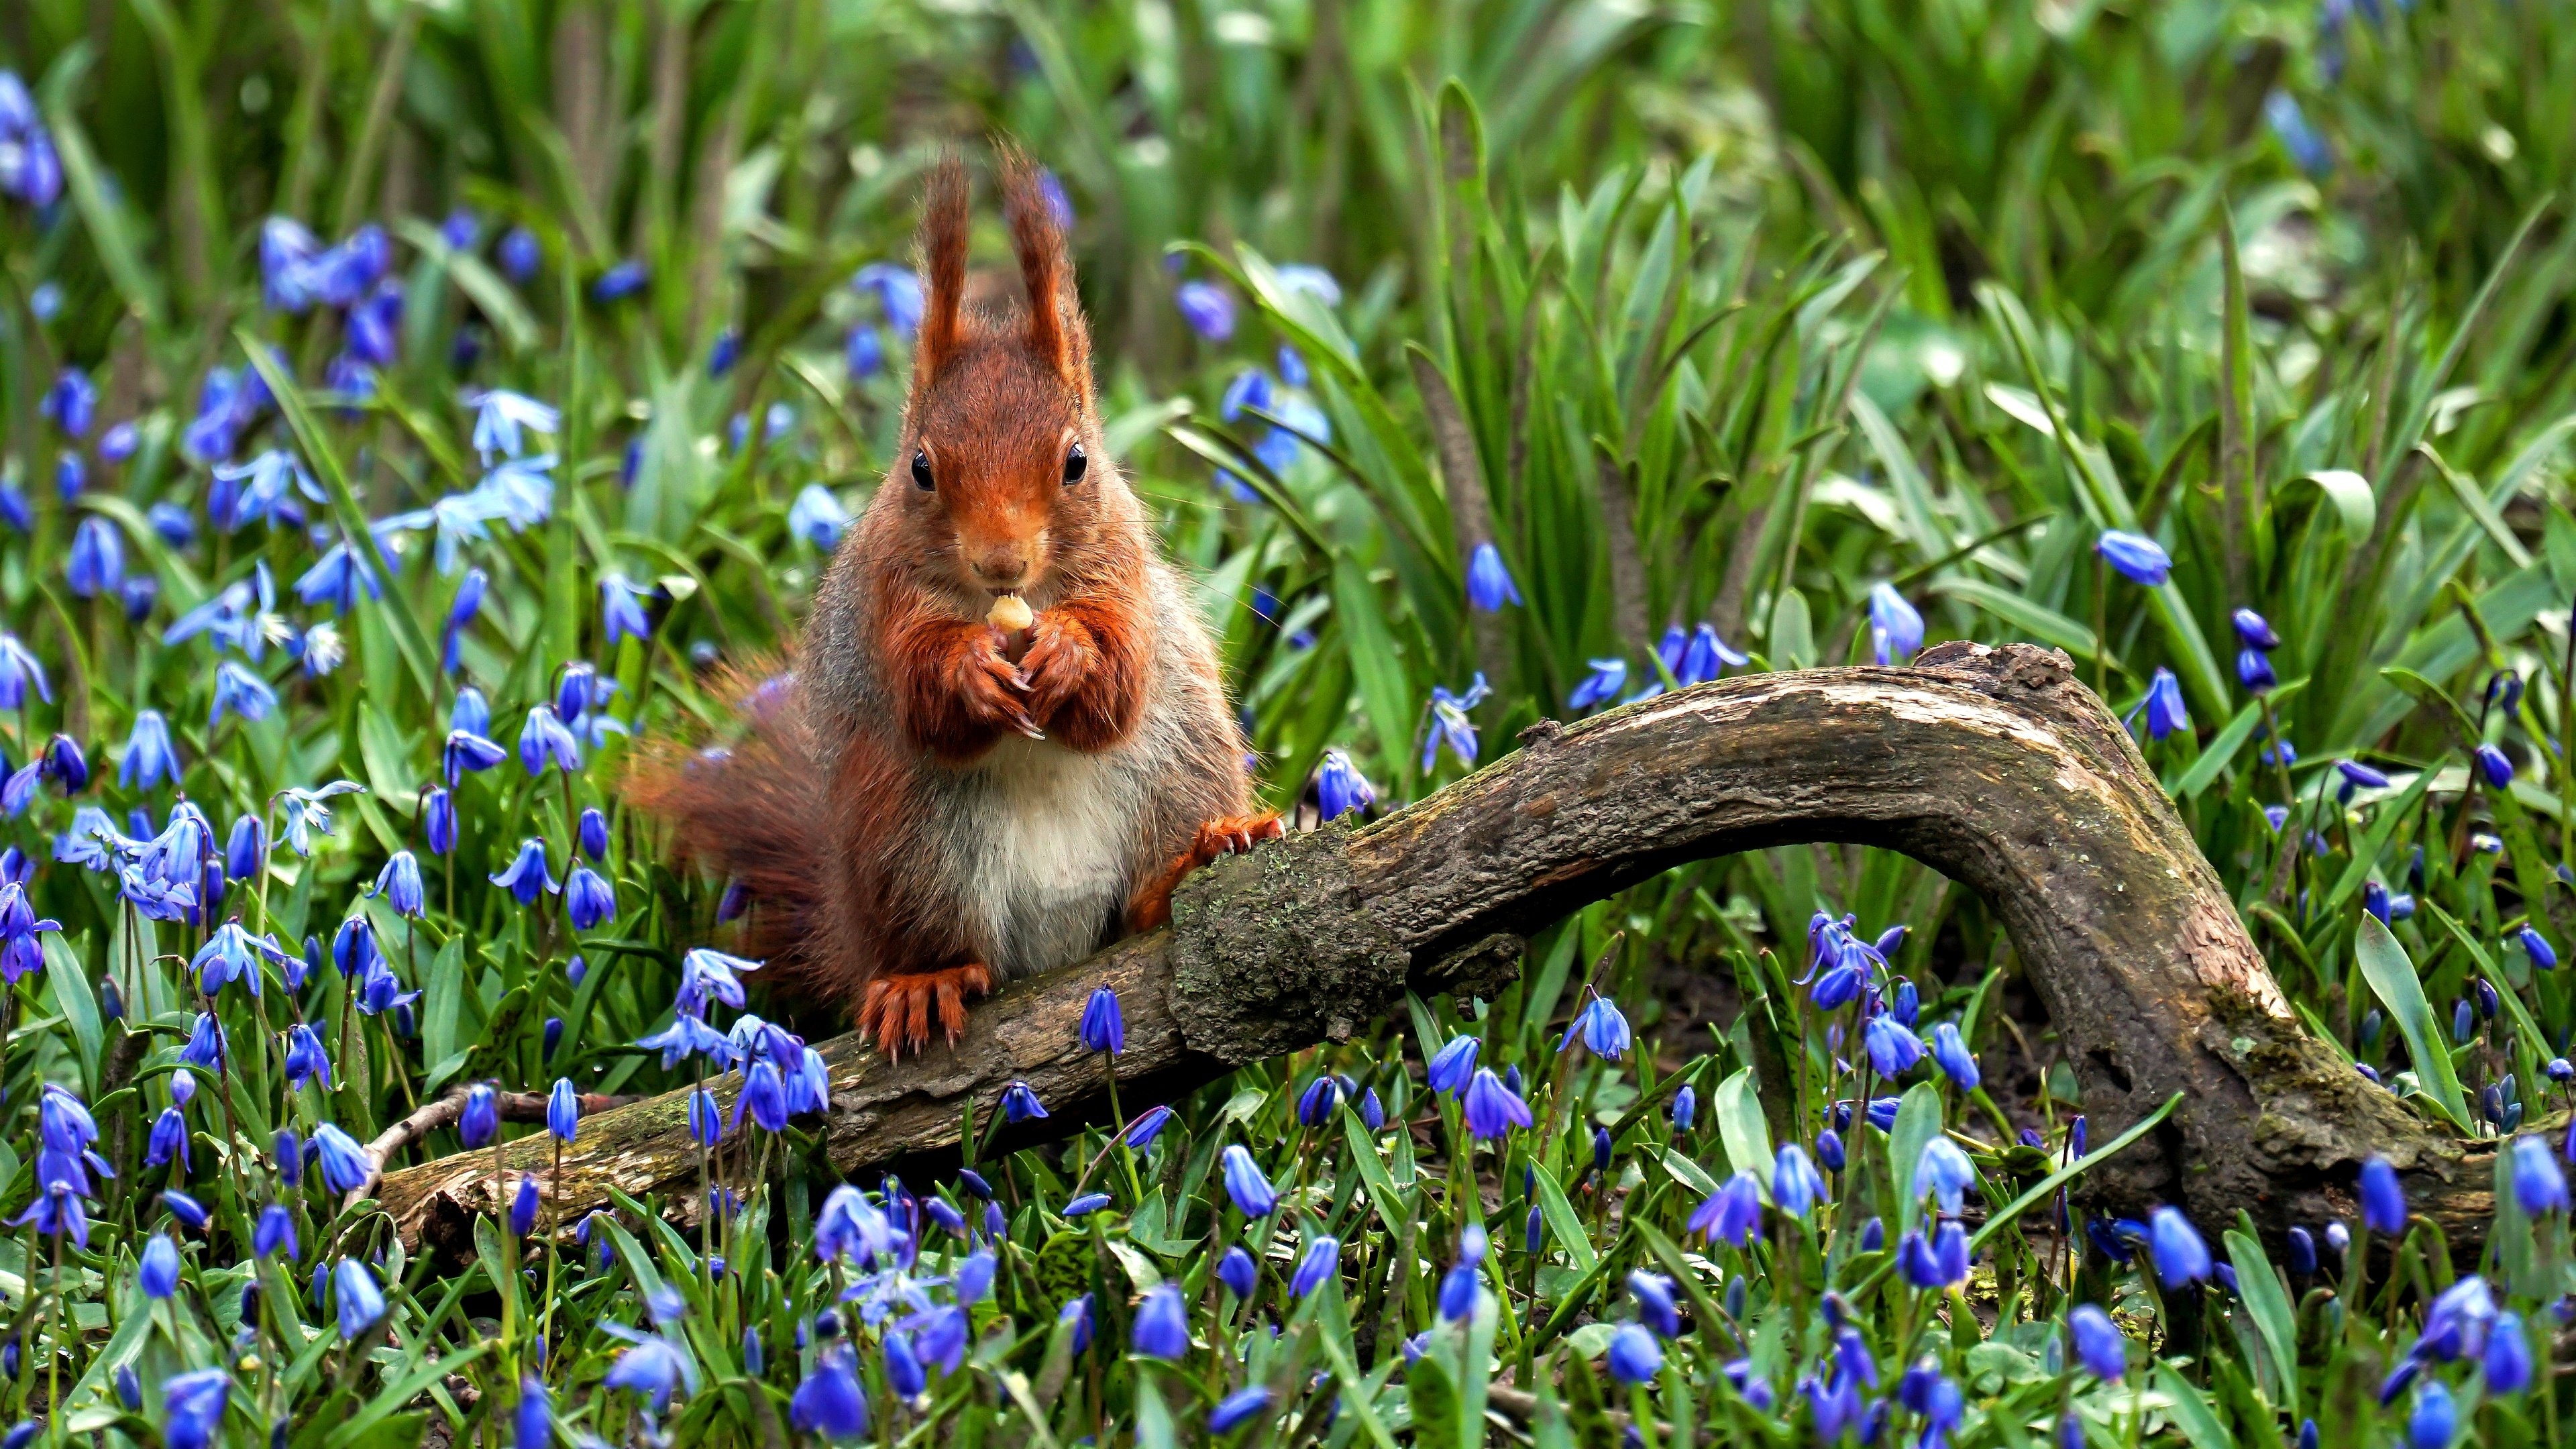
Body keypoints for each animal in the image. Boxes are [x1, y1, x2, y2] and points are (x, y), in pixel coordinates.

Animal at [633, 155, 1277, 1046]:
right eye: (921, 468)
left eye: (1077, 461)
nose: (1000, 561)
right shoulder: (888, 596)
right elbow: (922, 695)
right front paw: (970, 673)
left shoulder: (1123, 576)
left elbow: (1117, 682)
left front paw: (1070, 652)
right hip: (911, 840)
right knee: (945, 943)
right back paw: (923, 980)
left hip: (1182, 767)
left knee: (1146, 902)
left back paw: (1202, 854)